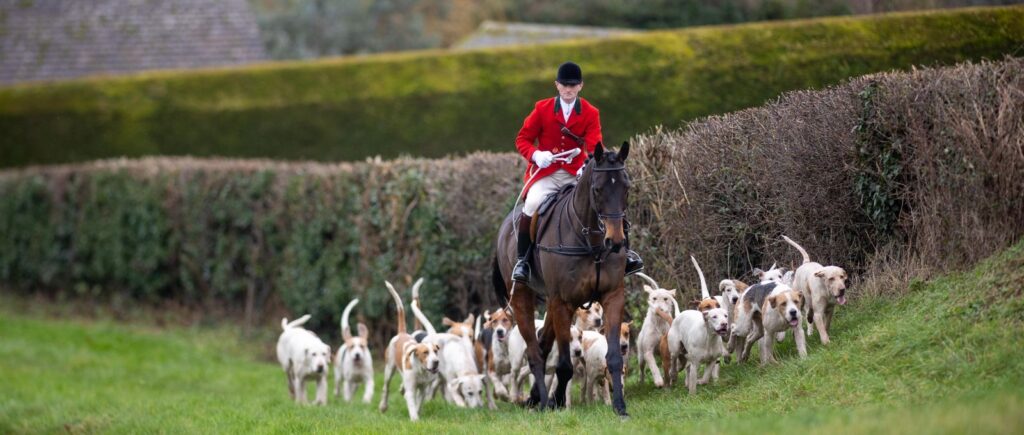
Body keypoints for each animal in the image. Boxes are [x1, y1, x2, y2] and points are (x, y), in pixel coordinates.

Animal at [491, 140, 626, 415]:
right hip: (524, 298)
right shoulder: (564, 302)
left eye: (626, 188)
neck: (592, 241)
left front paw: (620, 406)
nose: (616, 241)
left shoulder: (613, 296)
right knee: (534, 352)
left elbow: (614, 357)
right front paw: (557, 401)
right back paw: (541, 400)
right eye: (597, 190)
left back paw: (535, 397)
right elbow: (564, 364)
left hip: (552, 303)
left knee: (543, 343)